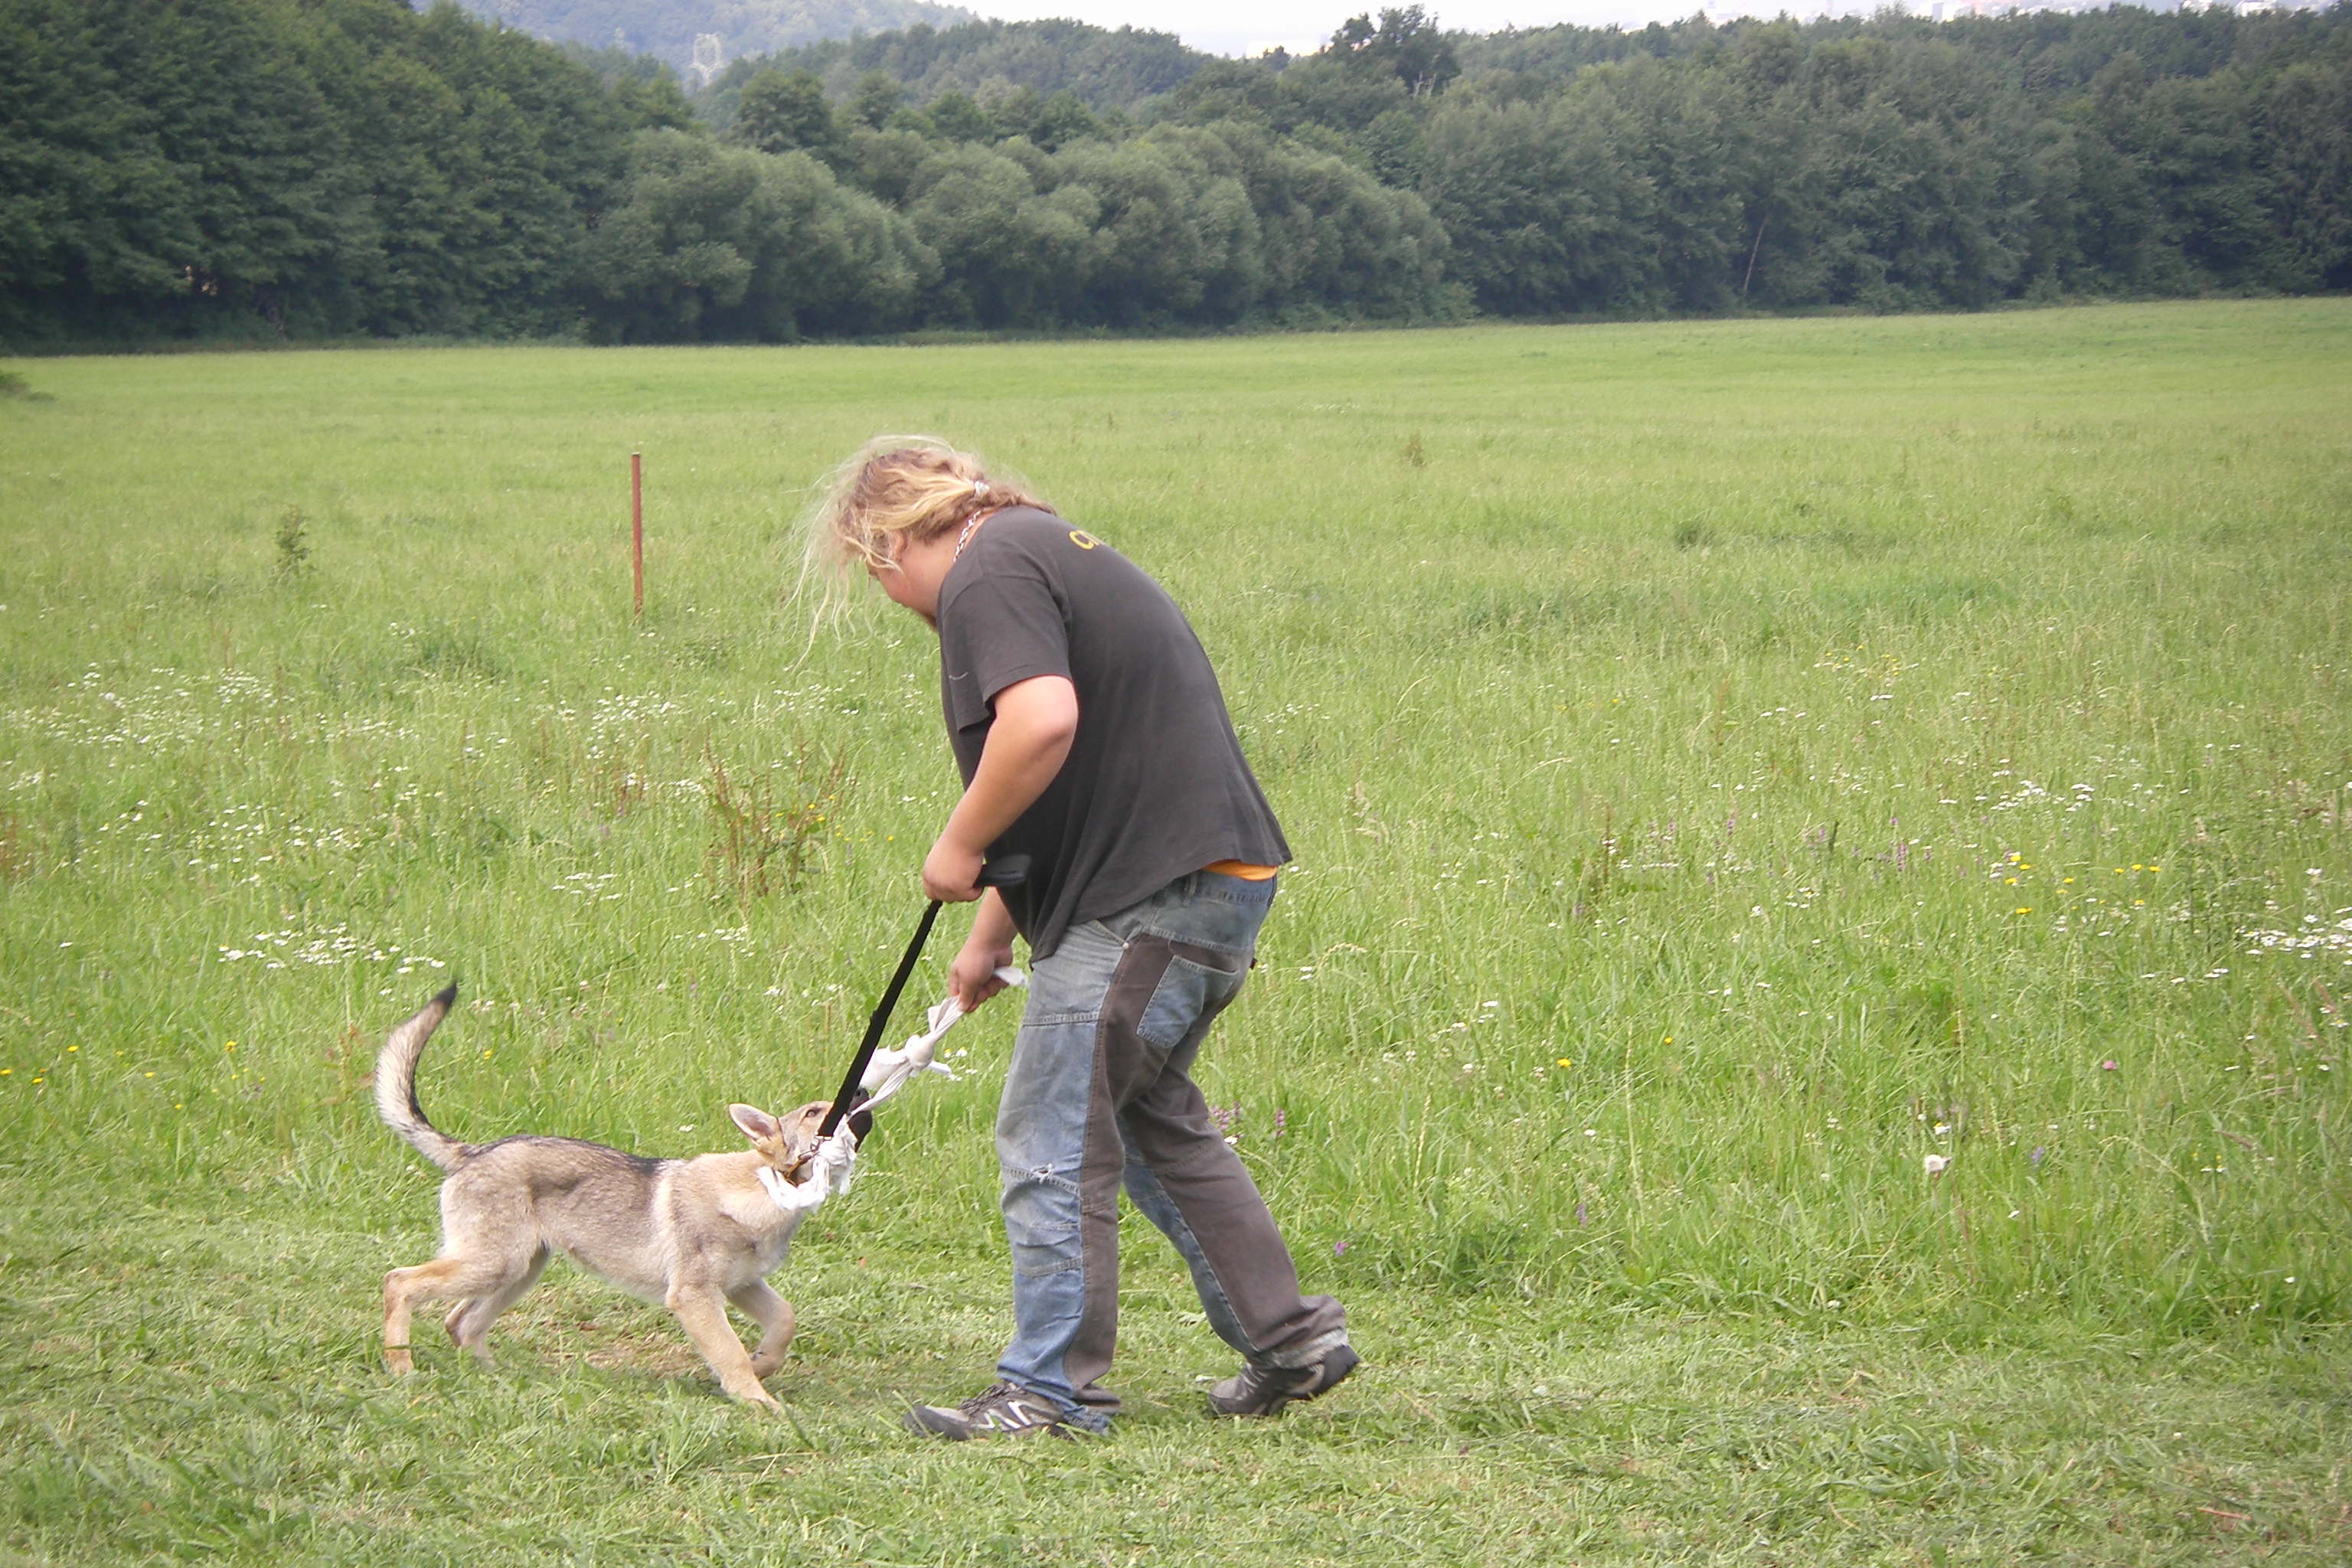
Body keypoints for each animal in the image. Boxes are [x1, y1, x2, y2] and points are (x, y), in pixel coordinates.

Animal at [376, 982, 865, 1410]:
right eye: (815, 1112)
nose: (860, 1091)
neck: (762, 1196)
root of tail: (473, 1152)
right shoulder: (694, 1296)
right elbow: (729, 1354)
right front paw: (759, 1402)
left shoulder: (743, 1285)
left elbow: (784, 1320)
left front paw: (763, 1364)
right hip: (495, 1266)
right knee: (399, 1282)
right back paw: (401, 1367)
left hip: (517, 1273)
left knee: (459, 1323)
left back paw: (499, 1378)